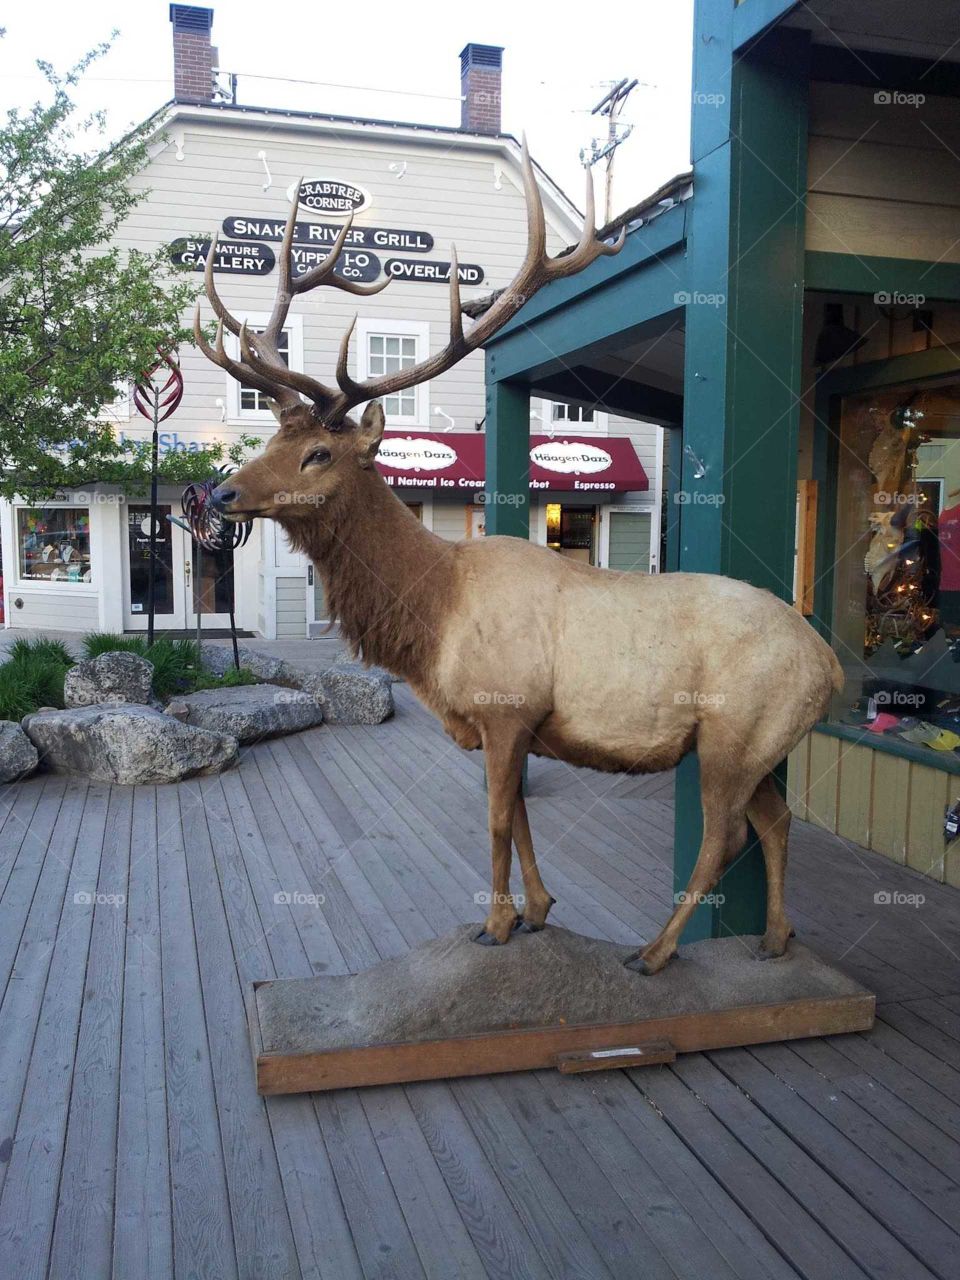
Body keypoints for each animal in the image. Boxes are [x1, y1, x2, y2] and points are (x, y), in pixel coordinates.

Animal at [194, 141, 843, 974]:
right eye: (273, 438)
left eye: (316, 453)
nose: (221, 493)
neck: (433, 618)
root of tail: (829, 667)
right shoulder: (514, 724)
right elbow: (523, 818)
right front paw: (538, 910)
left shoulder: (507, 707)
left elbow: (500, 821)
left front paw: (496, 922)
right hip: (758, 746)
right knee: (776, 819)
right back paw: (774, 937)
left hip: (736, 731)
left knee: (725, 832)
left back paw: (656, 951)